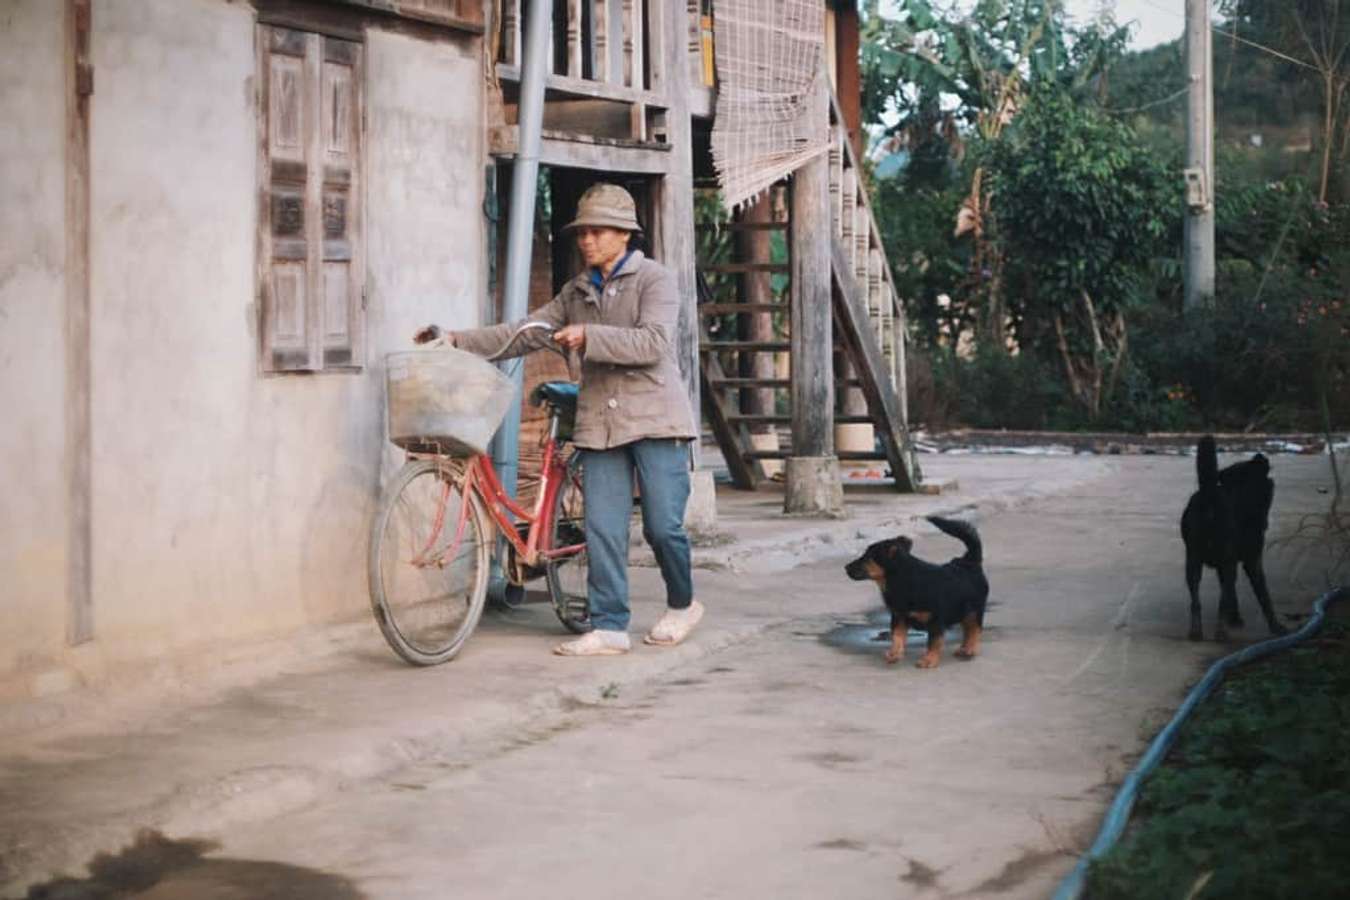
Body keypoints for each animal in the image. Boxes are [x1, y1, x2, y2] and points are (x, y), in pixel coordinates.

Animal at [842, 512, 993, 669]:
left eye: (867, 558)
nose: (845, 567)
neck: (902, 578)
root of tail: (969, 561)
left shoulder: (936, 621)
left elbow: (934, 642)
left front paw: (929, 660)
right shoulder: (899, 617)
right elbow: (897, 636)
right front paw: (894, 654)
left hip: (975, 609)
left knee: (974, 629)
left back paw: (970, 649)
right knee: (967, 629)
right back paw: (963, 648)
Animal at [1182, 434, 1285, 639]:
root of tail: (1209, 494)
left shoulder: (1224, 564)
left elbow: (1231, 594)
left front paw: (1235, 618)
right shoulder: (1251, 561)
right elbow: (1263, 595)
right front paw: (1276, 627)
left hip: (1193, 559)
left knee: (1196, 600)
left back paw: (1196, 631)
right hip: (1226, 560)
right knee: (1222, 601)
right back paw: (1221, 634)